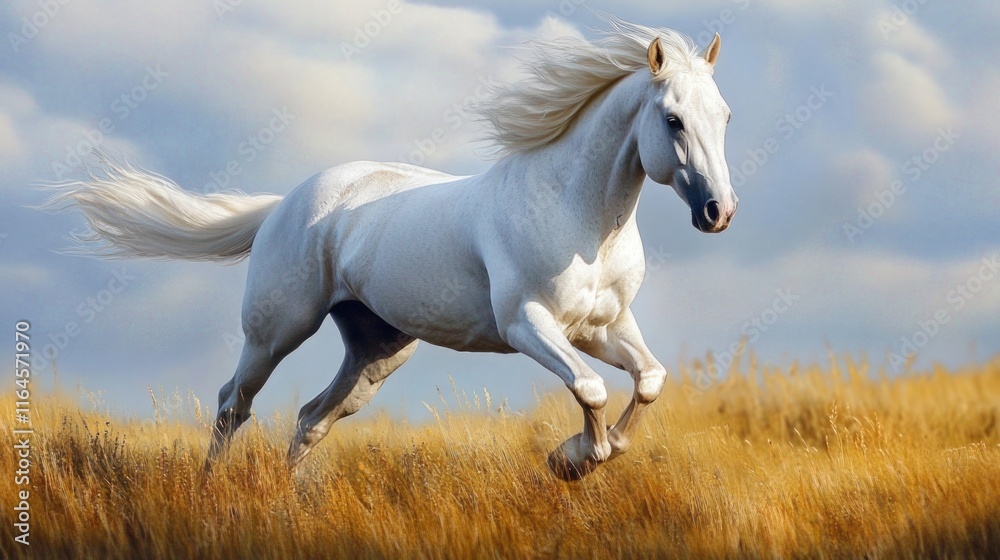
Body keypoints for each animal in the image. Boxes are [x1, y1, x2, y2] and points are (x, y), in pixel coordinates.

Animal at [47, 18, 737, 480]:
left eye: (725, 115)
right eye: (673, 119)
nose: (718, 213)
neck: (581, 218)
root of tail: (286, 205)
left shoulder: (604, 326)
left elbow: (649, 380)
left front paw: (588, 456)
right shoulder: (529, 325)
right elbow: (592, 390)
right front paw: (572, 459)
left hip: (375, 352)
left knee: (312, 418)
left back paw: (292, 501)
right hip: (275, 331)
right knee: (232, 404)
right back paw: (209, 490)